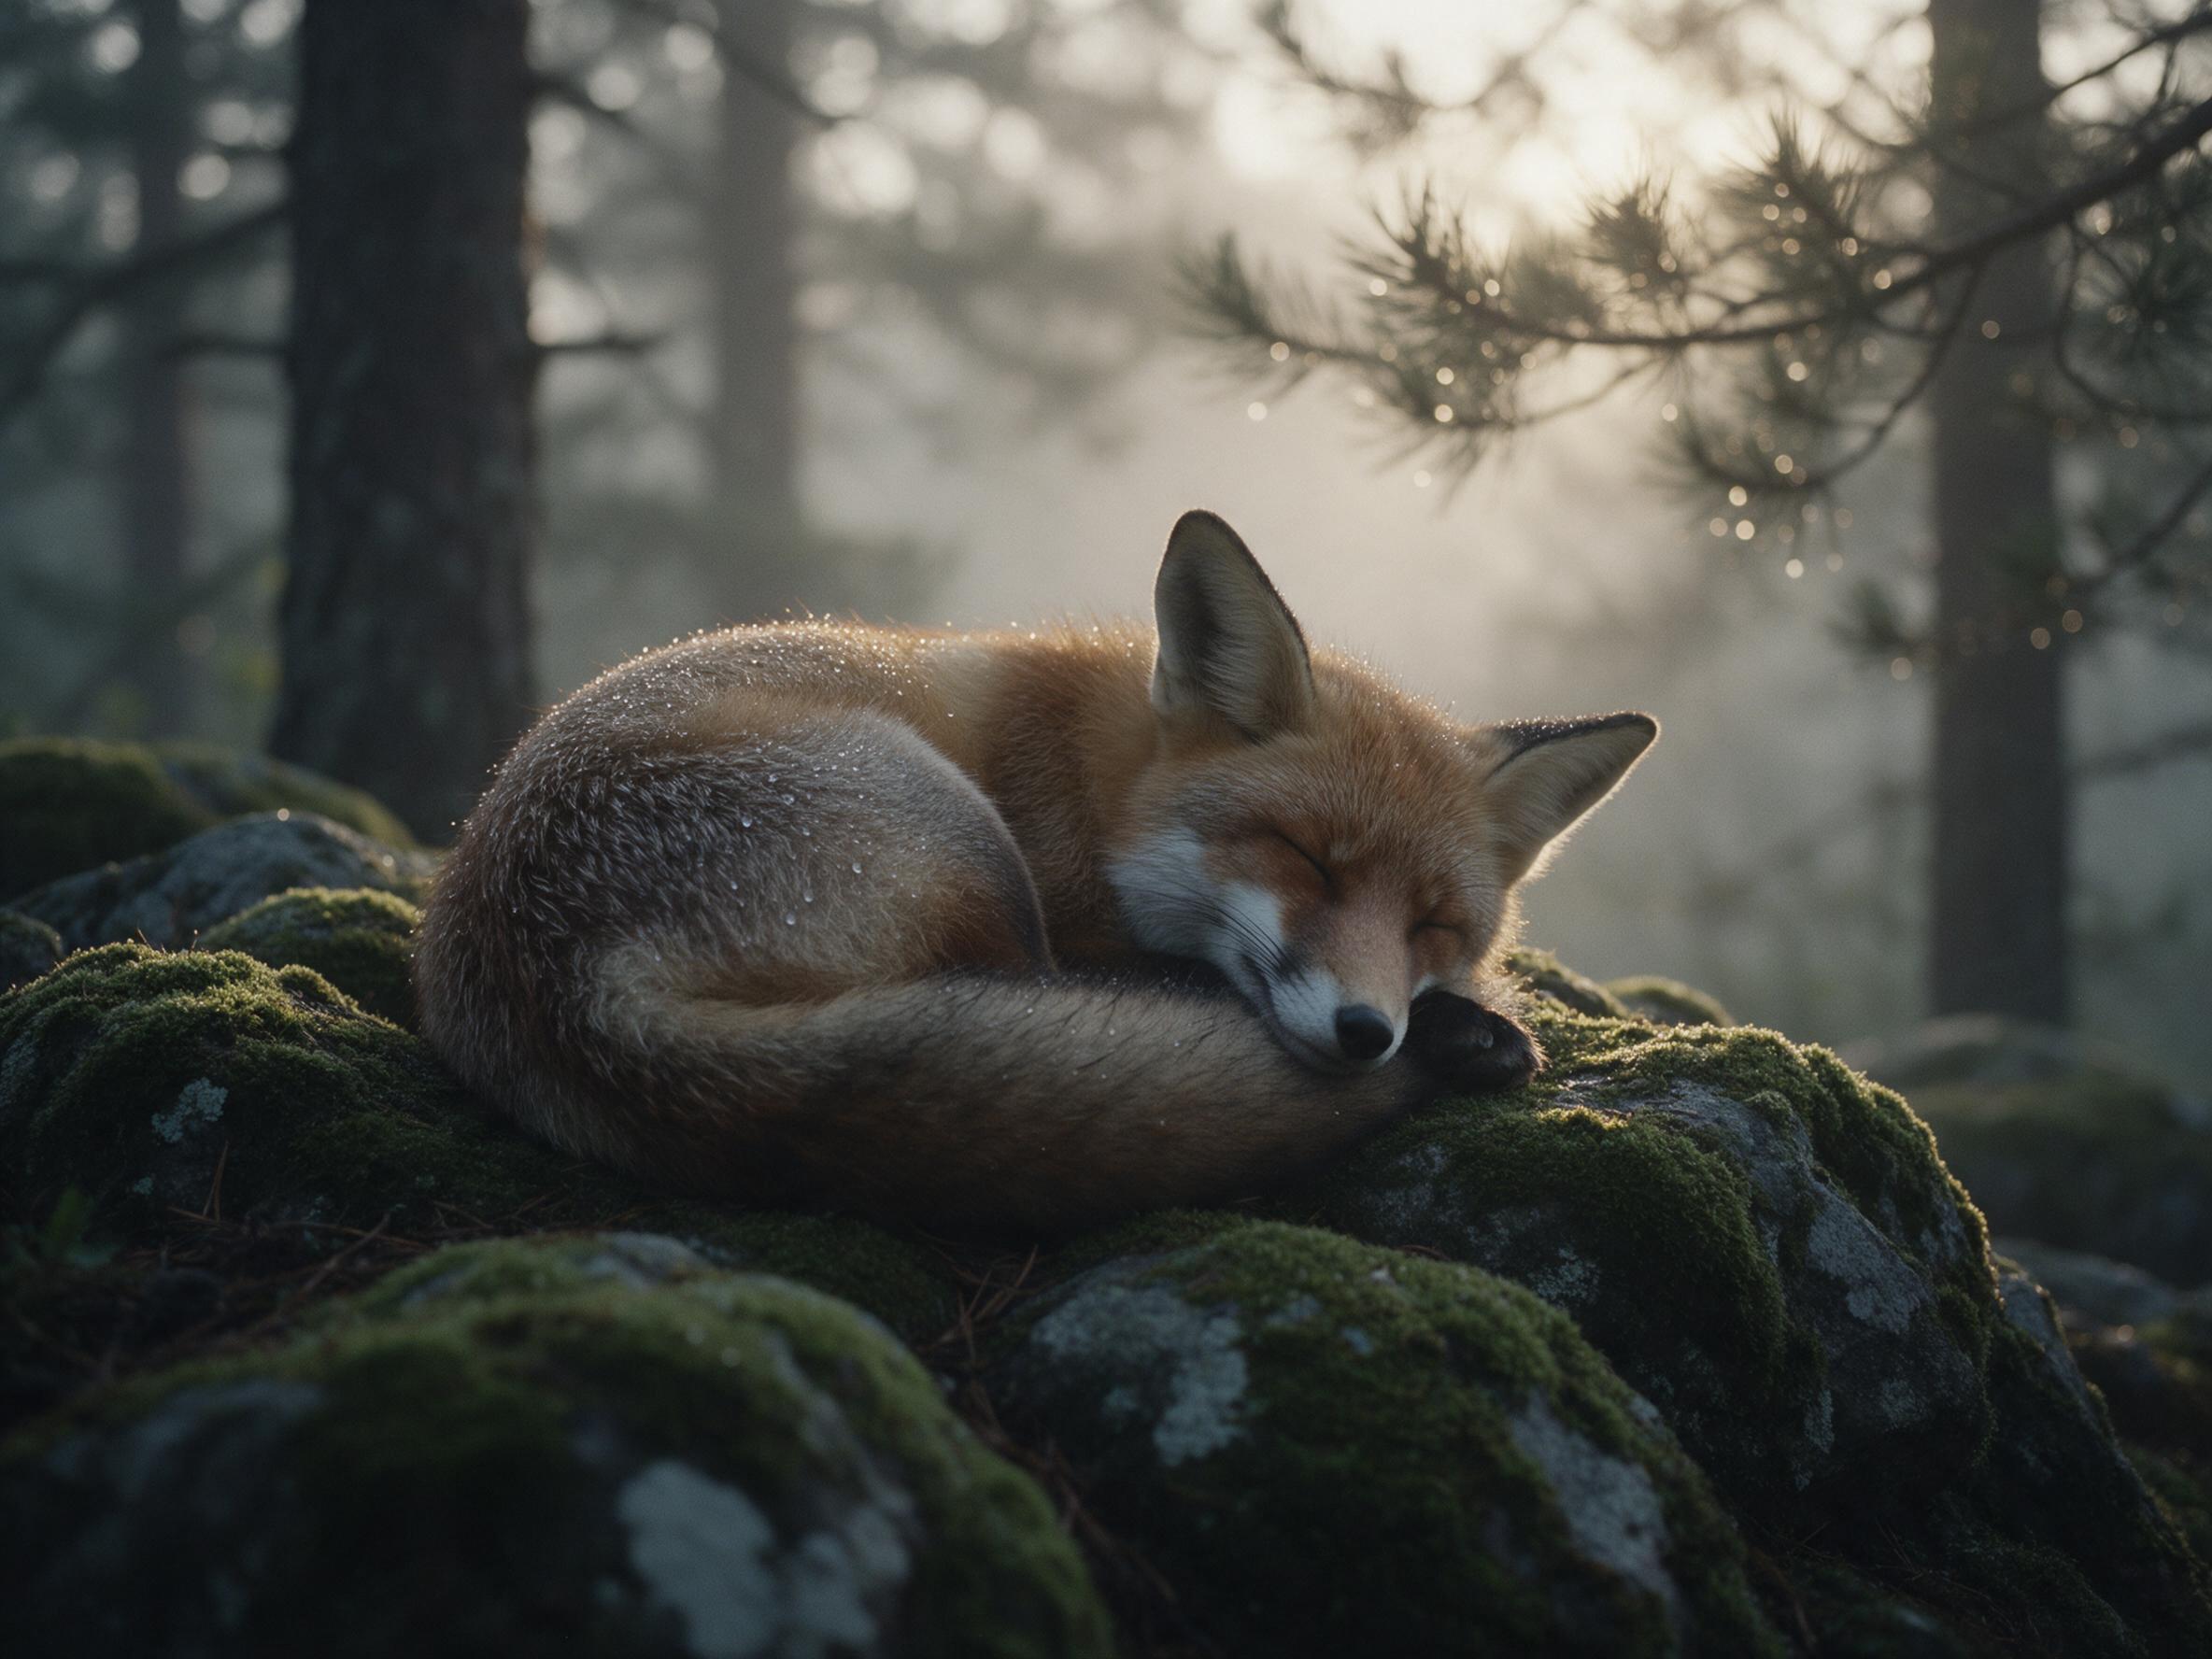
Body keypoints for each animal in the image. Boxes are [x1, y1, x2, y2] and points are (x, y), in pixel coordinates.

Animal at [415, 511, 1656, 1234]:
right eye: (1302, 855)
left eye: (1431, 924)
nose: (1367, 1034)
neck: (1096, 784)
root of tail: (569, 985)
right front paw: (1471, 1024)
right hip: (959, 838)